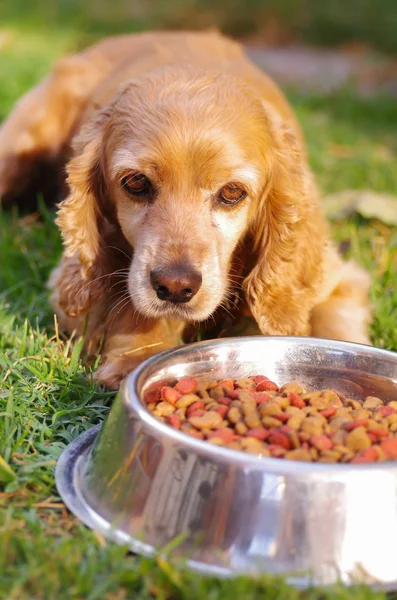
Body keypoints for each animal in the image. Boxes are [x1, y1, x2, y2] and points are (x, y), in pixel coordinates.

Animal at [0, 30, 372, 386]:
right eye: (136, 182)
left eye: (232, 192)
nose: (176, 286)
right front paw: (137, 358)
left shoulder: (333, 277)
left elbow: (334, 327)